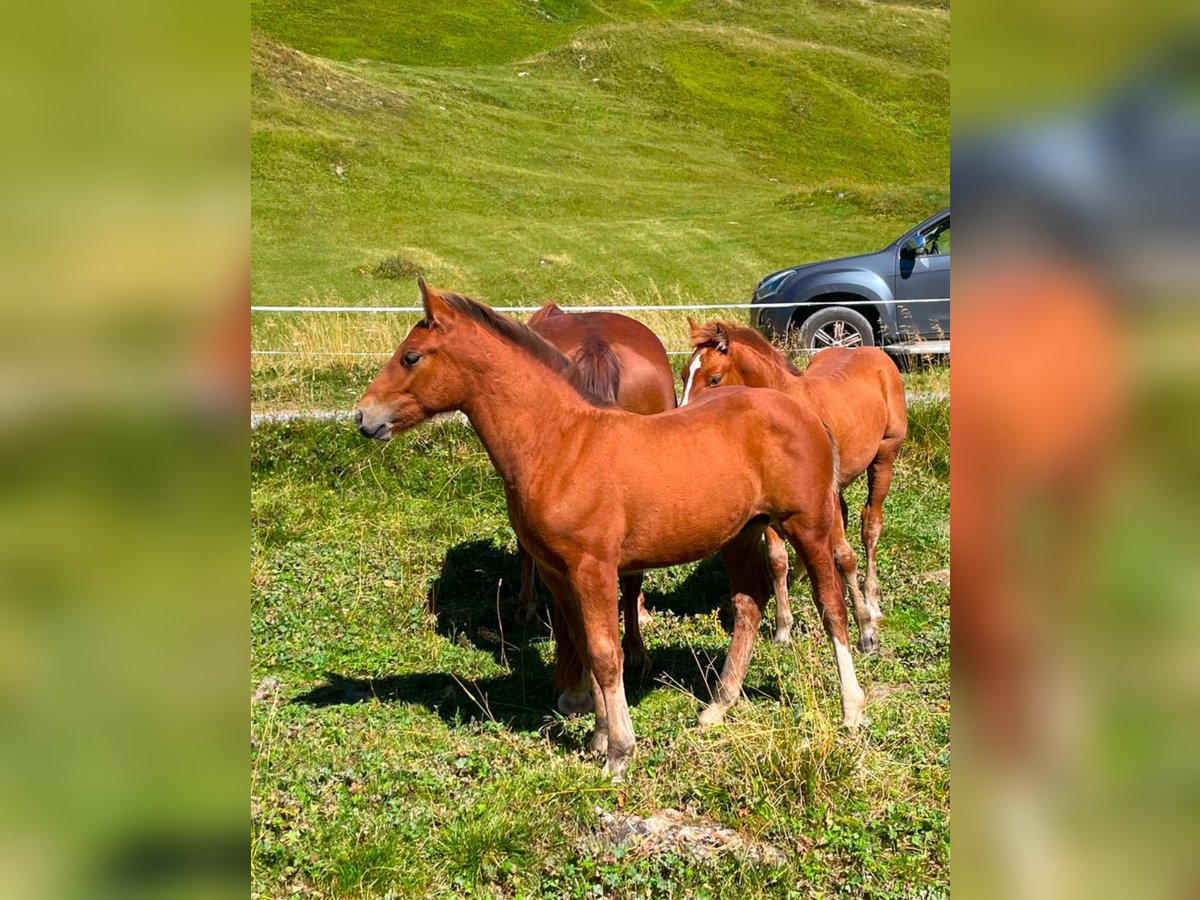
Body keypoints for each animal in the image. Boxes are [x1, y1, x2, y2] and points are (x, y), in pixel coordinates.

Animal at [352, 282, 864, 777]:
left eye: (411, 356)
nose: (363, 416)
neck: (559, 443)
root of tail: (802, 412)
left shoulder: (592, 567)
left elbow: (603, 653)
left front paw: (619, 752)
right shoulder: (558, 571)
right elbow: (582, 644)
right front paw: (598, 736)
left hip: (808, 524)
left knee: (831, 605)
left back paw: (852, 708)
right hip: (741, 534)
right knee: (749, 604)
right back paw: (717, 707)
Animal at [681, 324, 902, 657]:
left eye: (715, 379)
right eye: (684, 374)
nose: (683, 414)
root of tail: (872, 352)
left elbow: (845, 556)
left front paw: (866, 631)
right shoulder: (771, 506)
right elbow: (776, 560)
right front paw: (783, 629)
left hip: (884, 457)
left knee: (870, 525)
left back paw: (872, 602)